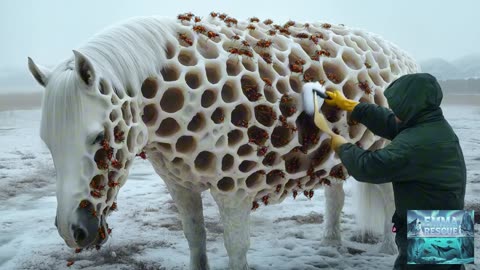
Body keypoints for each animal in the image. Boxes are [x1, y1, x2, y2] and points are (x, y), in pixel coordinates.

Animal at [28, 15, 400, 268]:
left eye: (98, 137)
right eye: (48, 143)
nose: (72, 231)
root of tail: (395, 51)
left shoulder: (234, 192)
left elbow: (235, 248)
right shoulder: (180, 186)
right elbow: (195, 238)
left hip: (381, 152)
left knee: (389, 201)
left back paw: (387, 249)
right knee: (335, 197)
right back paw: (330, 244)